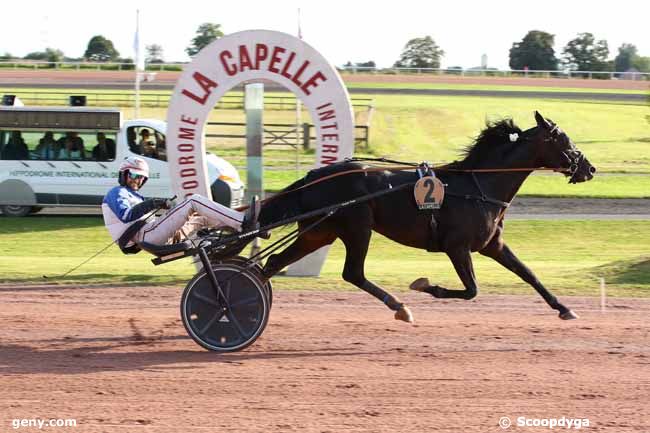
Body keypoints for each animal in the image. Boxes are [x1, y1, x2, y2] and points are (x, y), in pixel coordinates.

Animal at [256, 110, 596, 320]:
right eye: (565, 140)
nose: (590, 168)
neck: (479, 184)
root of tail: (313, 176)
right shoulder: (457, 247)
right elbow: (471, 290)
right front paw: (425, 285)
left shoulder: (492, 245)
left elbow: (529, 274)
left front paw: (564, 308)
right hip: (357, 228)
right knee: (353, 273)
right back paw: (400, 307)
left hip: (320, 231)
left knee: (274, 262)